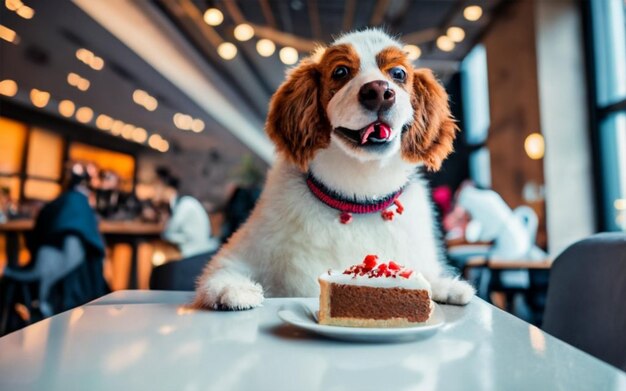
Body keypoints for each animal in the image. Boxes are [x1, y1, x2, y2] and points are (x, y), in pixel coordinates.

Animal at [195, 29, 472, 310]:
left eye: (398, 73)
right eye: (340, 71)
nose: (379, 91)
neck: (358, 197)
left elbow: (425, 273)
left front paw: (445, 286)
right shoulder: (242, 250)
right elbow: (223, 270)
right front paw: (233, 288)